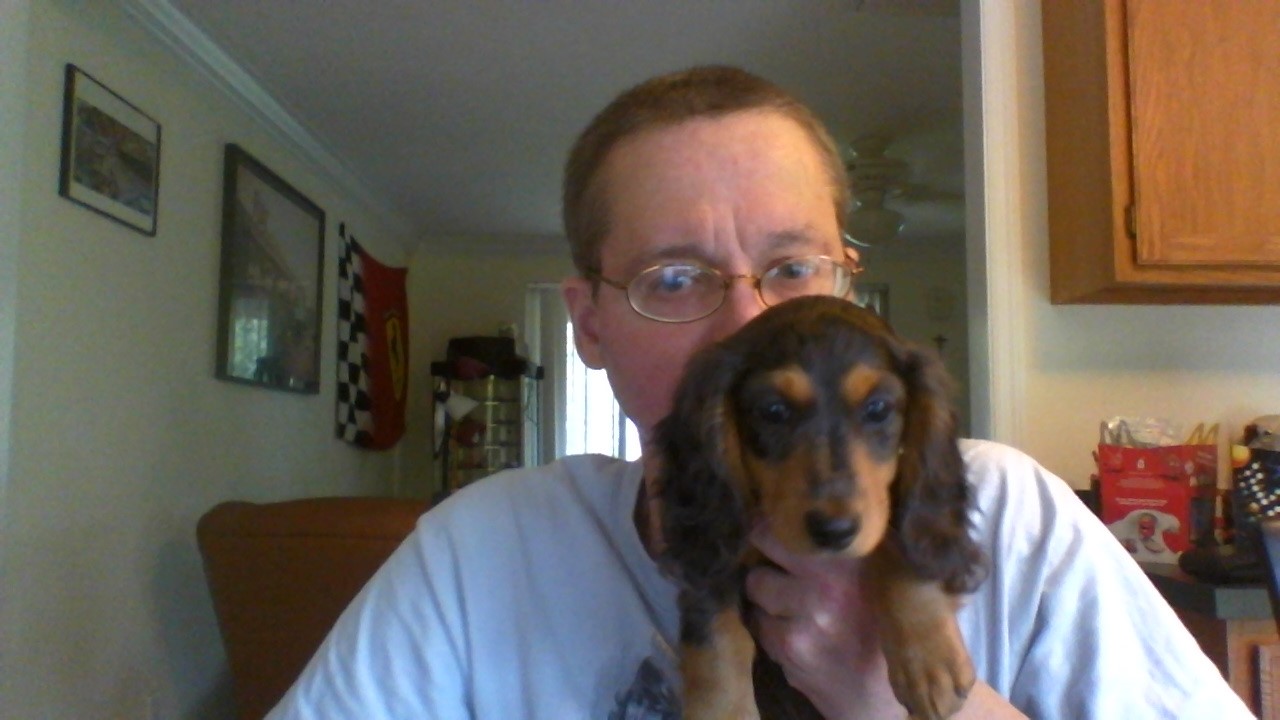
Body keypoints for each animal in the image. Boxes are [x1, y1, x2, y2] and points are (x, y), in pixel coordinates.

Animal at [655, 293, 983, 717]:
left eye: (878, 408)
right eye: (773, 411)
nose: (834, 531)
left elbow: (898, 543)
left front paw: (929, 658)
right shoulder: (713, 554)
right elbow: (716, 638)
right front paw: (721, 710)